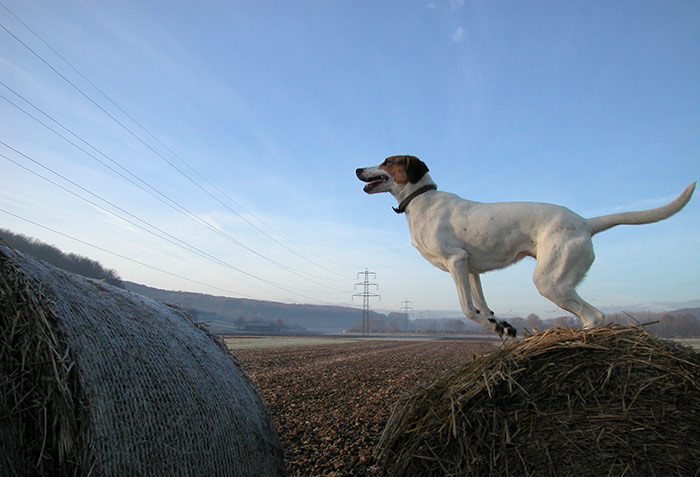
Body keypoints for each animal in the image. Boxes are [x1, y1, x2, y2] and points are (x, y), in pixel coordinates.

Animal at [358, 155, 696, 334]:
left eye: (387, 161)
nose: (358, 169)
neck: (421, 200)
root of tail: (585, 222)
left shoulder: (456, 261)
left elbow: (467, 308)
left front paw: (493, 326)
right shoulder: (471, 268)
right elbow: (483, 305)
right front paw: (500, 323)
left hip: (551, 281)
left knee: (593, 316)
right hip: (559, 283)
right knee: (597, 316)